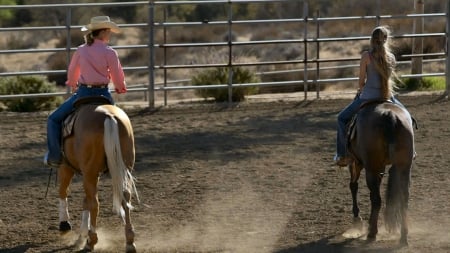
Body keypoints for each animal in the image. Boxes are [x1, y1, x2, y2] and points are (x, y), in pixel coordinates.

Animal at [58, 98, 139, 251]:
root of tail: (109, 116)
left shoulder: (66, 167)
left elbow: (63, 191)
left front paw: (65, 225)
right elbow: (84, 200)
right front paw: (81, 235)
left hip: (88, 172)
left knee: (94, 203)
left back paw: (91, 241)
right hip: (123, 168)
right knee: (125, 197)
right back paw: (130, 242)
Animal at [348, 100, 414, 245]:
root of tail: (390, 115)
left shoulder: (356, 162)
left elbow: (353, 186)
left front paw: (357, 218)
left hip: (370, 168)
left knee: (376, 199)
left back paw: (372, 233)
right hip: (404, 166)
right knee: (404, 197)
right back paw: (403, 236)